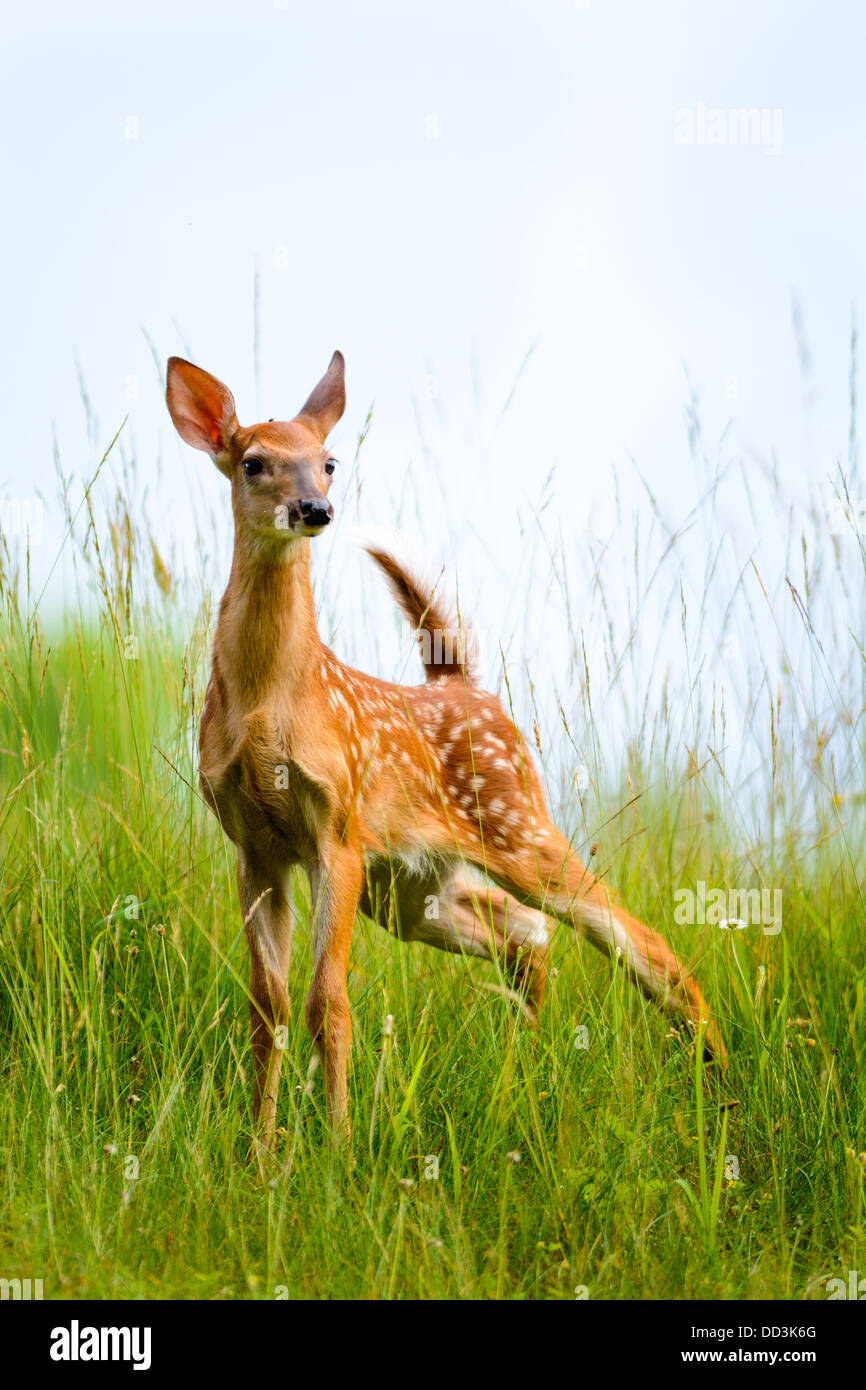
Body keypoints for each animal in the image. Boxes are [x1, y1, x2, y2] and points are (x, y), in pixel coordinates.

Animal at [166, 353, 728, 1145]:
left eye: (328, 461)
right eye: (253, 462)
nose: (314, 510)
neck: (267, 704)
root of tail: (461, 683)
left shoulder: (336, 830)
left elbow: (326, 1002)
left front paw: (338, 1148)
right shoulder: (255, 846)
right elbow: (266, 1010)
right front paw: (261, 1151)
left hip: (517, 825)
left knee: (638, 940)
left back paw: (718, 1081)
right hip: (410, 886)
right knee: (524, 934)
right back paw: (526, 1072)